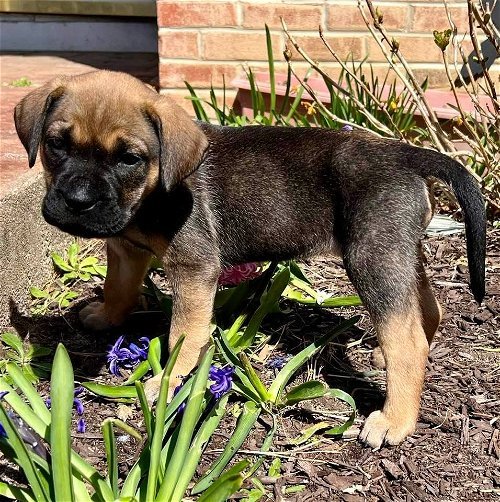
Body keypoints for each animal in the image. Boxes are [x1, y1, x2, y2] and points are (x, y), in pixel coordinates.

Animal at [14, 69, 484, 448]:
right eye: (56, 144)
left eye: (130, 158)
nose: (77, 201)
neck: (153, 195)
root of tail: (404, 153)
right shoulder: (125, 249)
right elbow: (118, 288)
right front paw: (107, 316)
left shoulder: (194, 269)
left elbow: (183, 335)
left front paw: (166, 382)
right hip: (398, 251)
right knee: (426, 310)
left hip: (372, 256)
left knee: (407, 339)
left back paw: (394, 420)